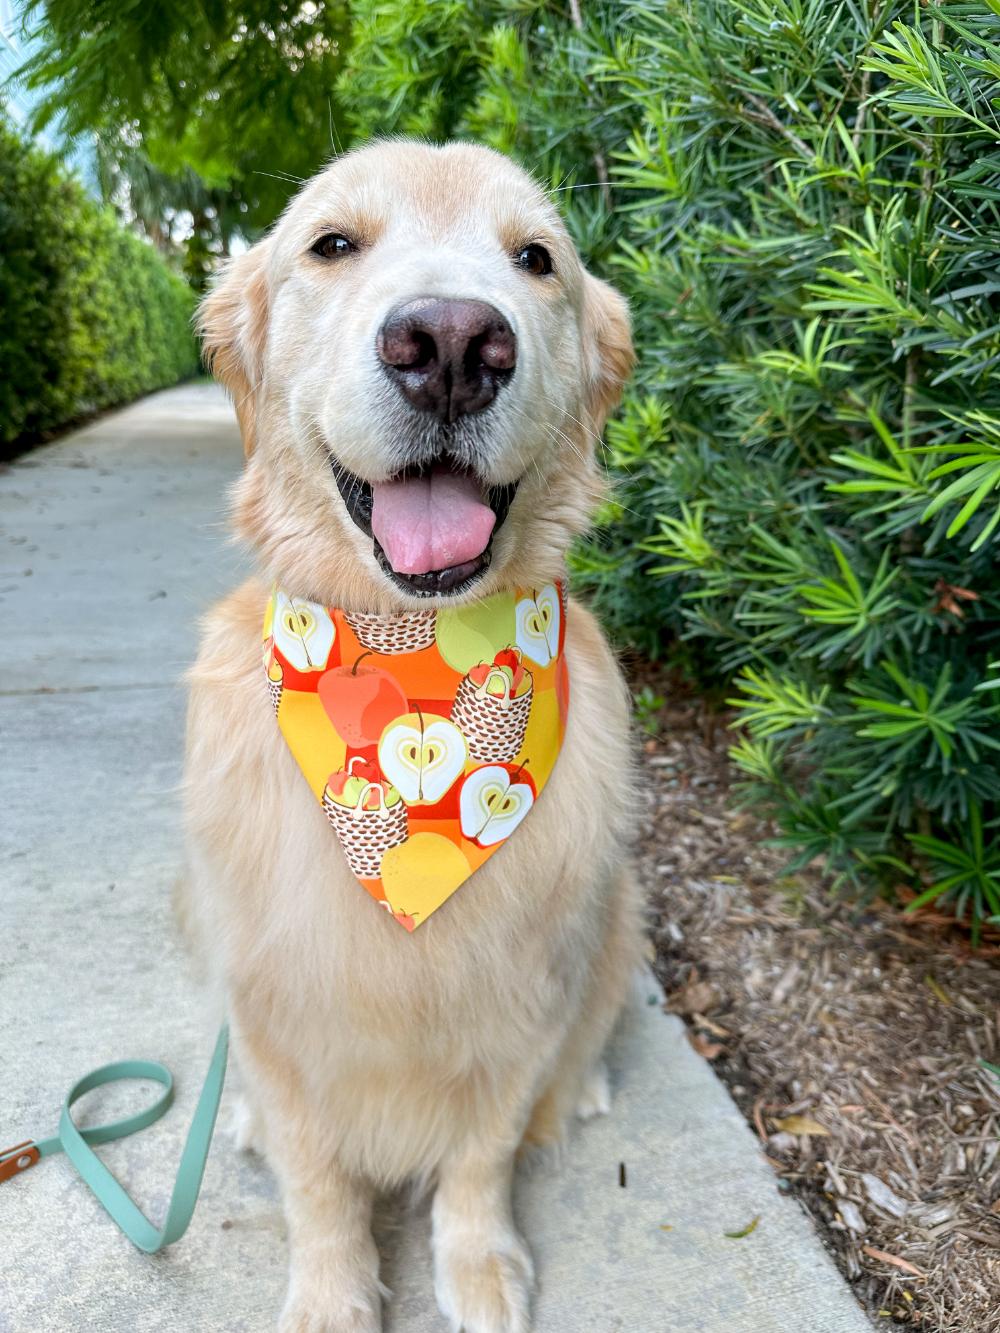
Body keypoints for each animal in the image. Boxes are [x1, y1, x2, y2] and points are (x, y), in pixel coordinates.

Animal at [184, 140, 645, 1327]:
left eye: (536, 259)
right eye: (332, 243)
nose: (449, 345)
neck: (417, 656)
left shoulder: (523, 999)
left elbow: (481, 1153)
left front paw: (477, 1265)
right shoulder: (273, 1004)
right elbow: (314, 1175)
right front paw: (331, 1293)